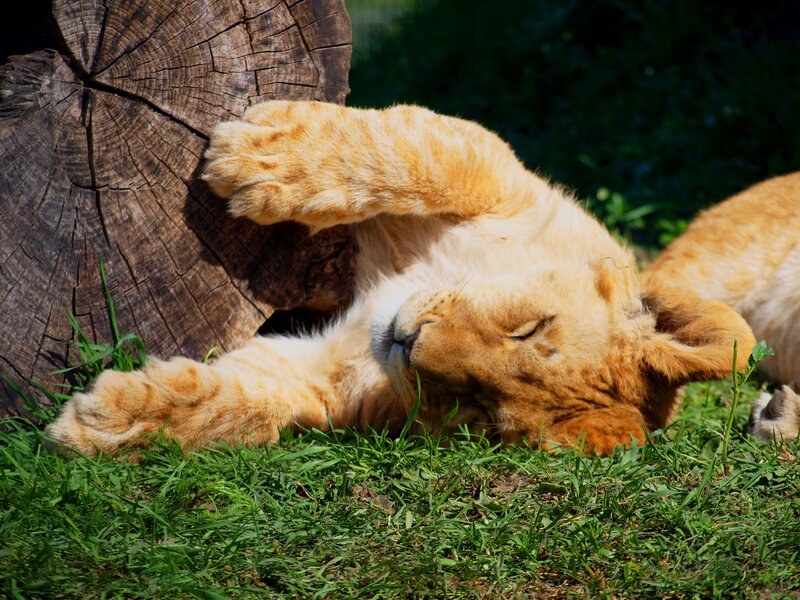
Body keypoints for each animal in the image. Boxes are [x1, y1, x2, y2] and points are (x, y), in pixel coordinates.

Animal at [45, 101, 755, 456]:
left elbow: (252, 403)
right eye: (529, 329)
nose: (410, 344)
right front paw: (262, 153)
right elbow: (419, 153)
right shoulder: (504, 179)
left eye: (480, 410)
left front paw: (105, 422)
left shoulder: (331, 380)